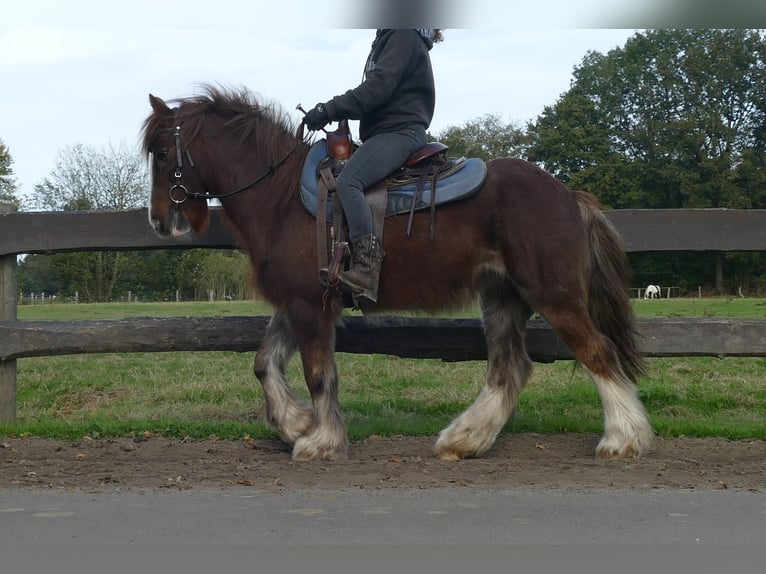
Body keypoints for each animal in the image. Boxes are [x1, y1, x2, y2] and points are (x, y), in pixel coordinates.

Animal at [142, 84, 656, 464]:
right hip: (501, 296)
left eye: (164, 152)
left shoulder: (309, 305)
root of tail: (568, 194)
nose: (159, 220)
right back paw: (465, 439)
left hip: (554, 295)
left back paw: (622, 439)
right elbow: (265, 363)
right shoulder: (299, 300)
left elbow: (317, 373)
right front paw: (296, 424)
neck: (281, 197)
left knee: (596, 352)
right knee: (509, 368)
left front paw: (321, 441)